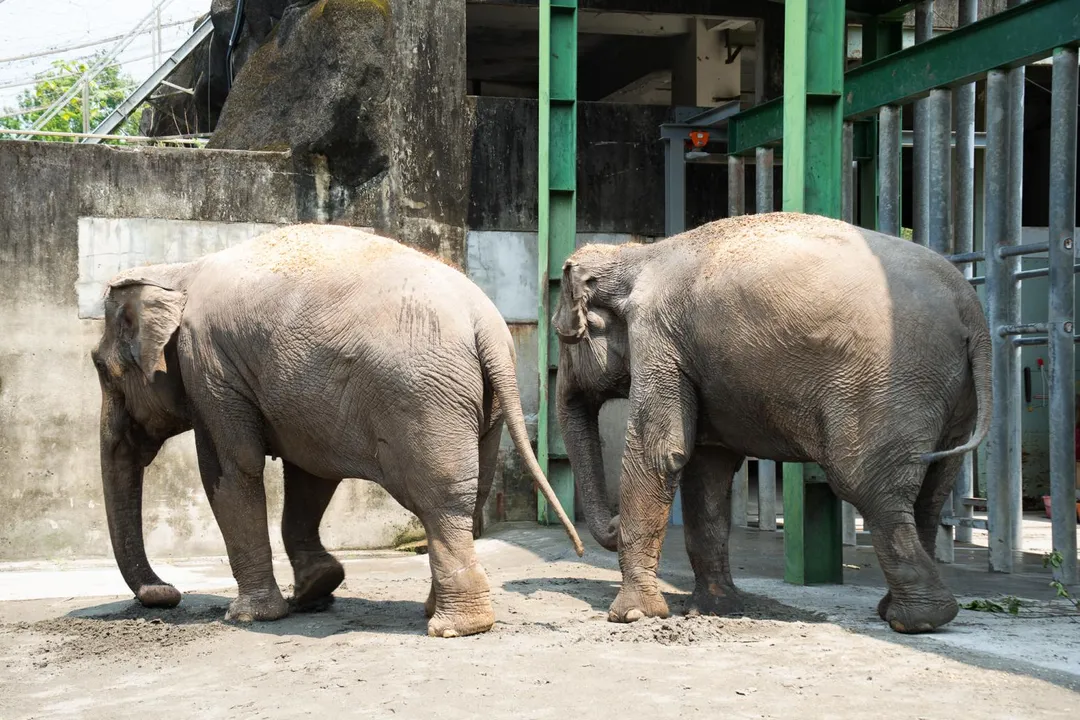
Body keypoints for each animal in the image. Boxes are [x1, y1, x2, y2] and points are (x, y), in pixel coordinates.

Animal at [91, 223, 583, 638]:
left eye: (99, 367)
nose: (166, 594)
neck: (177, 270)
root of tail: (484, 324)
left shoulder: (210, 368)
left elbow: (232, 471)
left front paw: (249, 616)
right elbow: (310, 475)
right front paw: (315, 591)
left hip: (423, 400)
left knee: (439, 498)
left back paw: (454, 628)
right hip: (486, 404)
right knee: (469, 494)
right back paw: (440, 613)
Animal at [552, 212, 991, 634]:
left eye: (561, 337)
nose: (612, 520)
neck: (635, 255)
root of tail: (971, 309)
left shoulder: (658, 337)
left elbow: (661, 451)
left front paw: (632, 616)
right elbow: (707, 469)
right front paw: (713, 610)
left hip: (889, 385)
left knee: (866, 484)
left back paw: (917, 620)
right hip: (950, 394)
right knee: (932, 491)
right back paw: (902, 611)